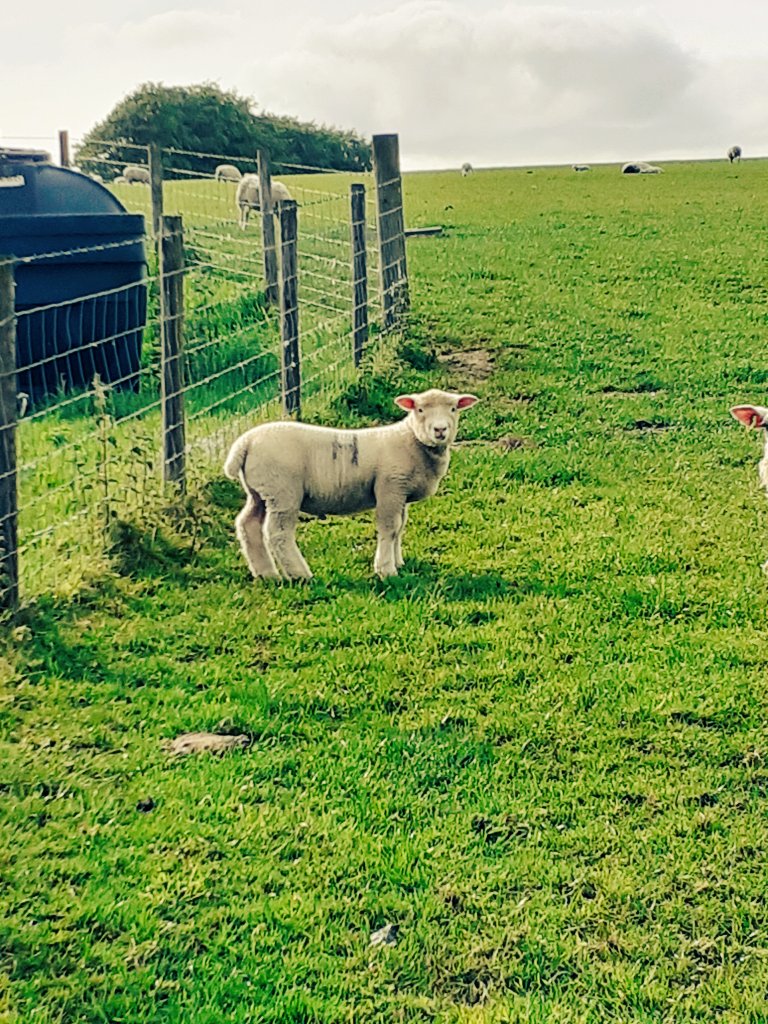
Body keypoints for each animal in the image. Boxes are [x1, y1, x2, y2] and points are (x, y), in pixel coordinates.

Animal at [223, 388, 479, 579]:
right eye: (420, 409)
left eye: (453, 409)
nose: (440, 430)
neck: (411, 440)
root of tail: (246, 442)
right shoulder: (390, 488)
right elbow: (390, 528)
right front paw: (386, 570)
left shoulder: (402, 494)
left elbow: (400, 528)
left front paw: (399, 562)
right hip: (283, 491)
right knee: (278, 533)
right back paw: (300, 574)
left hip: (259, 492)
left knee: (248, 525)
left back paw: (266, 574)